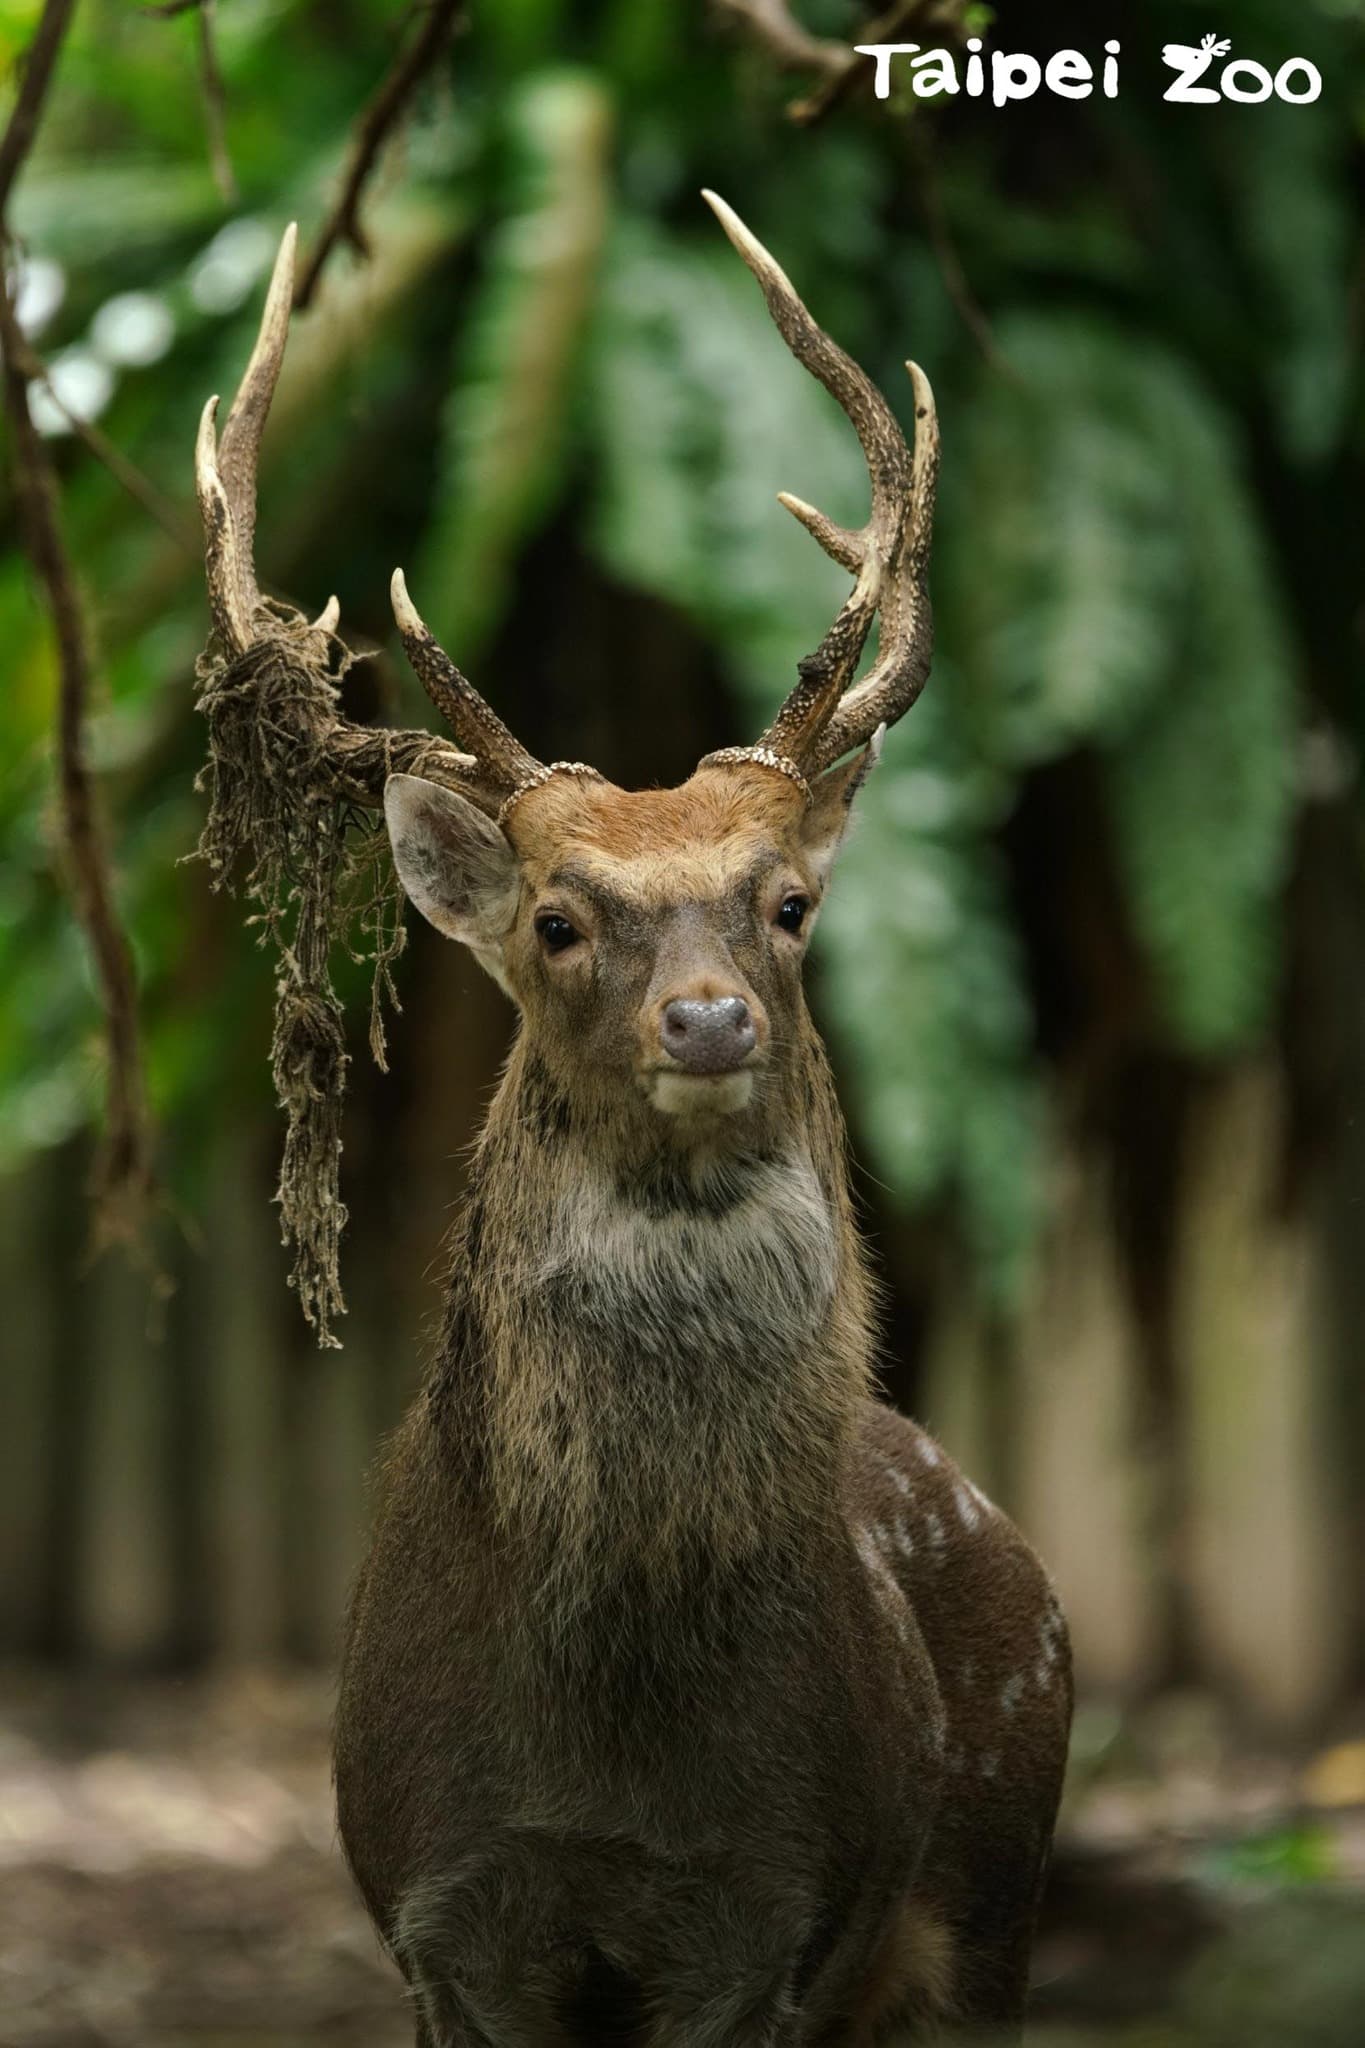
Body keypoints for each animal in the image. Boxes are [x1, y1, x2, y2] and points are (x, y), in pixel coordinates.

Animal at [194, 192, 1071, 2046]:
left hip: (993, 1899)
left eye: (790, 904)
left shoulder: (770, 1912)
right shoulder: (440, 1908)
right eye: (555, 919)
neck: (607, 1744)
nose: (711, 1015)